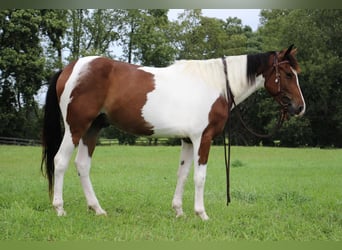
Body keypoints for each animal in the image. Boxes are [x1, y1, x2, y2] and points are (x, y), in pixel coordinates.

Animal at [41, 45, 306, 221]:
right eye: (289, 74)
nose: (300, 107)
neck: (217, 84)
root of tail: (70, 68)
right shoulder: (203, 139)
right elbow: (200, 177)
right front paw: (201, 214)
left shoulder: (188, 140)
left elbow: (183, 174)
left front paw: (179, 211)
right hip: (76, 128)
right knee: (60, 161)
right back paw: (59, 208)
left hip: (92, 129)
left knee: (82, 165)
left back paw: (97, 209)